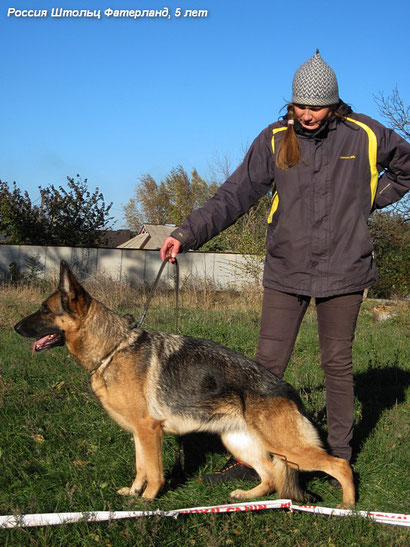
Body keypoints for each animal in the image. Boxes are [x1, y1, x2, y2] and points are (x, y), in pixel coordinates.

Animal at [14, 264, 354, 508]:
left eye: (45, 310)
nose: (15, 327)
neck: (112, 347)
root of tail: (287, 390)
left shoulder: (149, 431)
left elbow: (153, 472)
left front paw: (147, 503)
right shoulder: (139, 433)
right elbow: (140, 467)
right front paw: (134, 493)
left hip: (287, 447)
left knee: (341, 465)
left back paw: (348, 508)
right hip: (239, 442)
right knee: (271, 477)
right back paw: (246, 496)